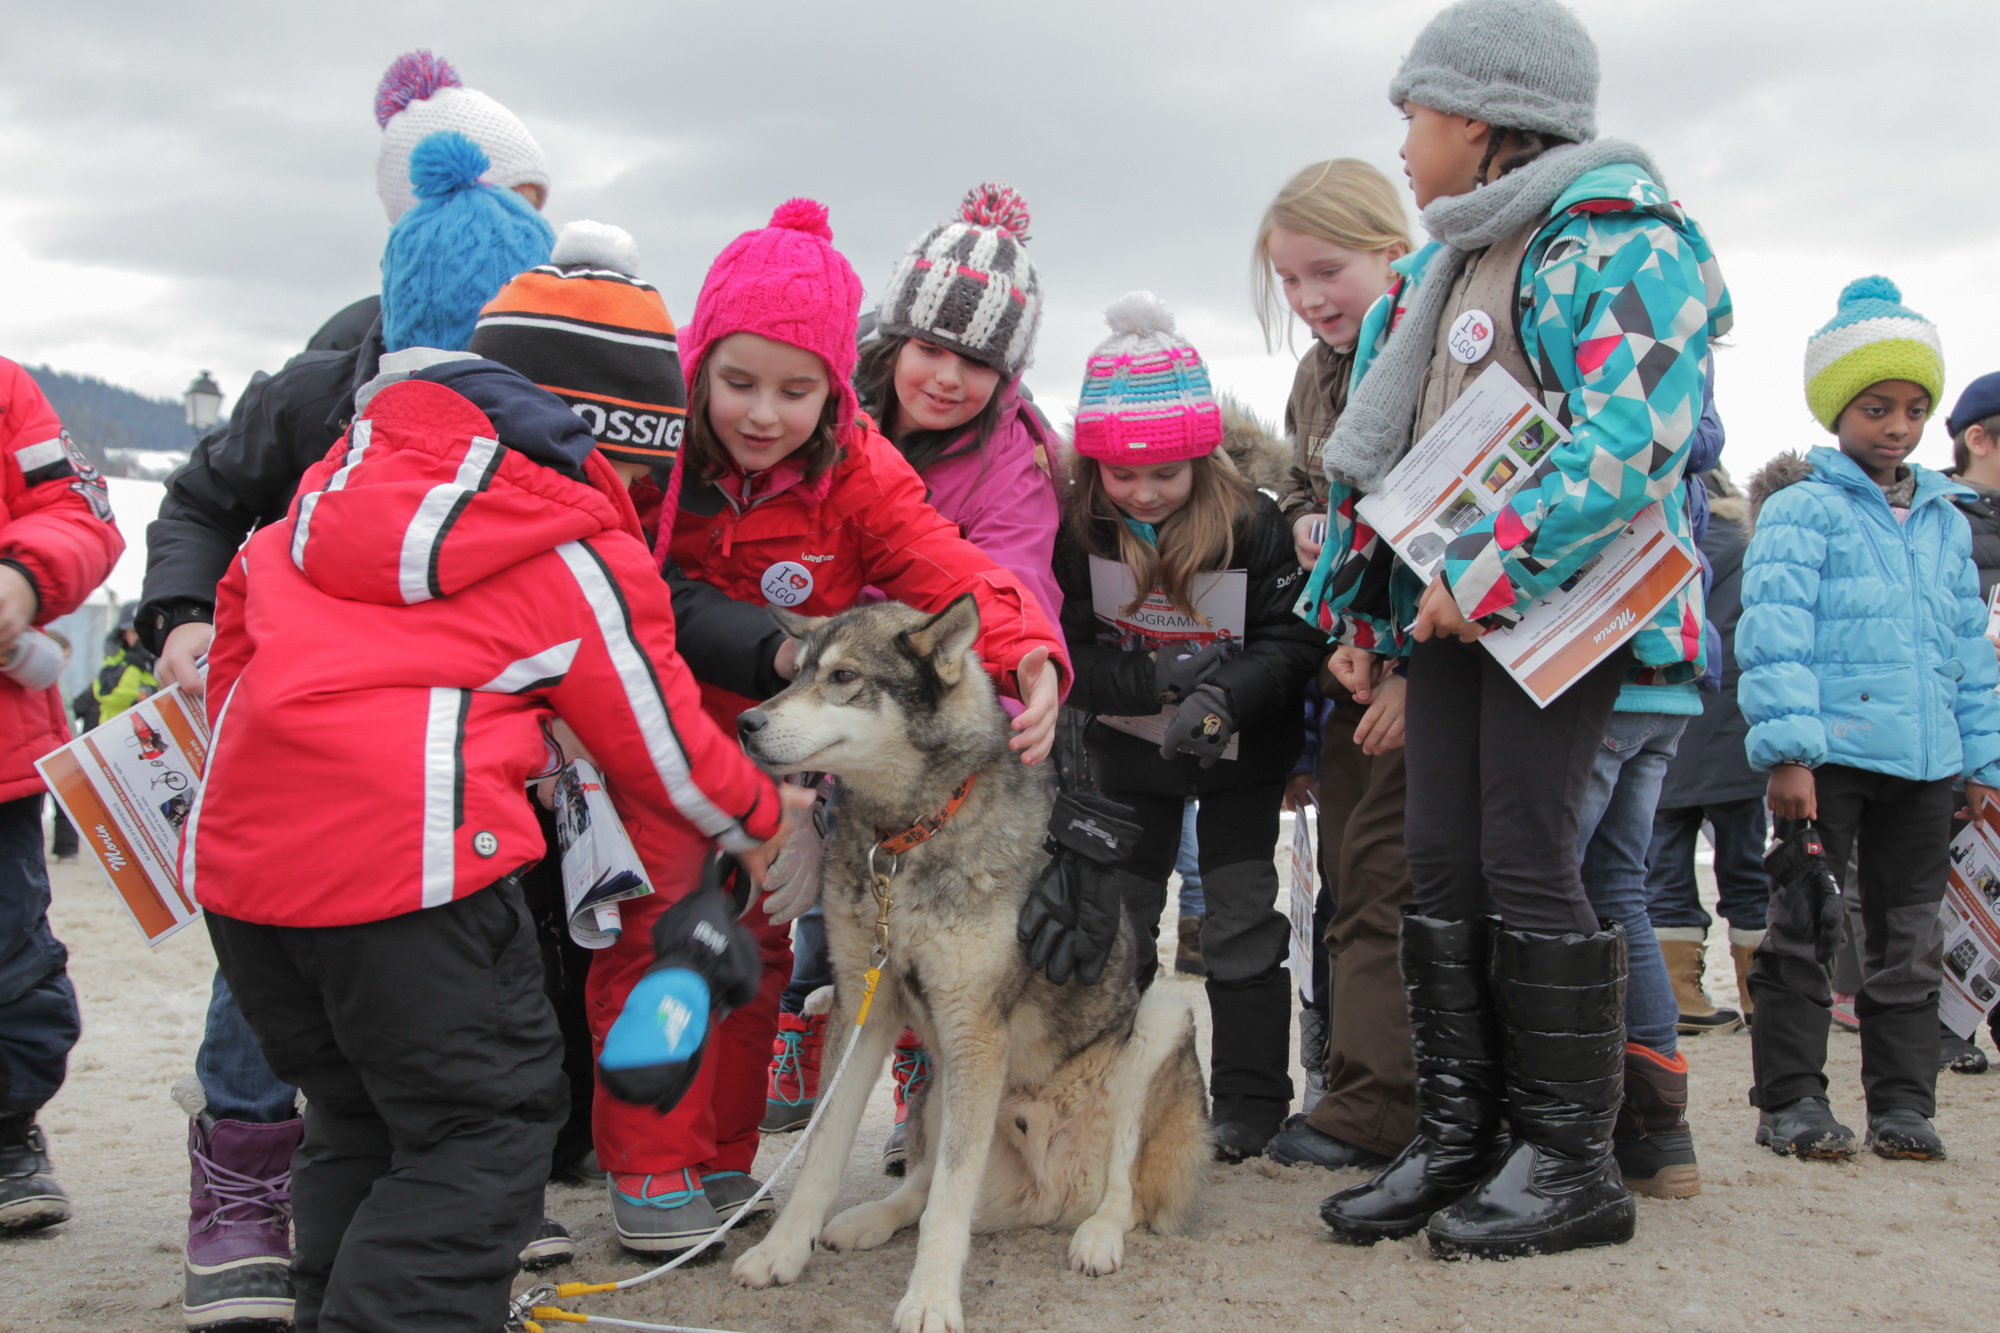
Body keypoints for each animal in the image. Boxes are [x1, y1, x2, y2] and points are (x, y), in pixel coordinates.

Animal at [736, 592, 1200, 1328]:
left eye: (843, 677)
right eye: (796, 670)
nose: (745, 722)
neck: (907, 837)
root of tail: (1051, 1195)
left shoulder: (975, 1028)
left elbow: (948, 1202)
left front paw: (929, 1298)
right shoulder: (865, 1005)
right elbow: (823, 1156)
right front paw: (783, 1251)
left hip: (1162, 1016)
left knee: (1121, 1188)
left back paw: (1097, 1234)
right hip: (937, 1085)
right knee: (921, 1188)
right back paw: (867, 1220)